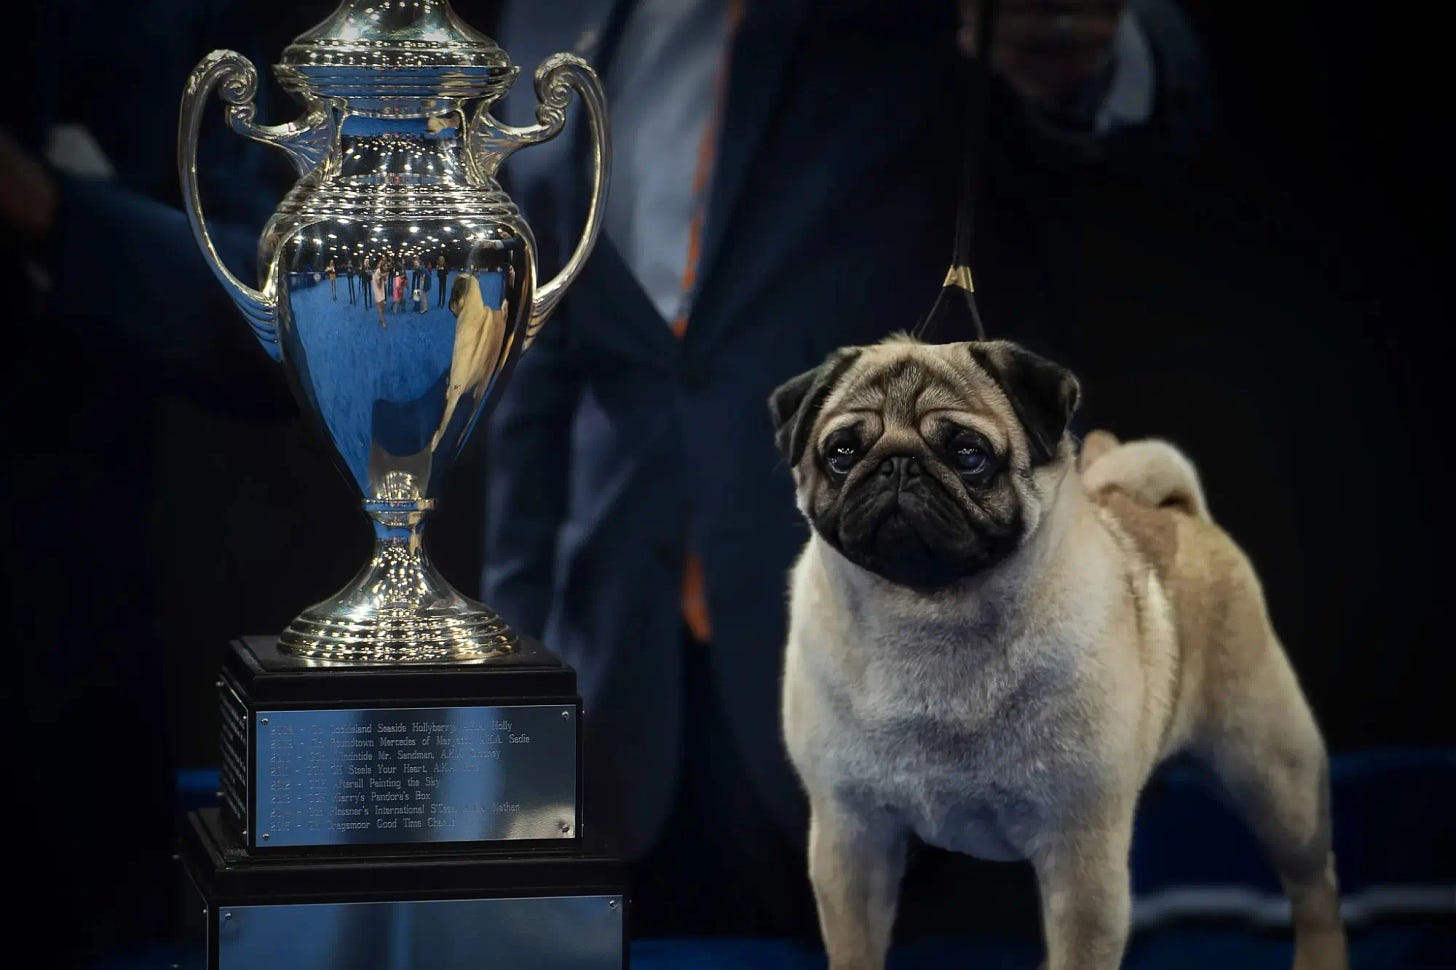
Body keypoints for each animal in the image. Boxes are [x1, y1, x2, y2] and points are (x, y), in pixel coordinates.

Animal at [768, 334, 1345, 967]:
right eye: (842, 452)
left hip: (1275, 778)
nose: (897, 463)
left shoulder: (1081, 856)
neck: (928, 618)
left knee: (1315, 886)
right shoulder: (851, 838)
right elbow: (855, 949)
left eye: (968, 454)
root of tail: (1179, 511)